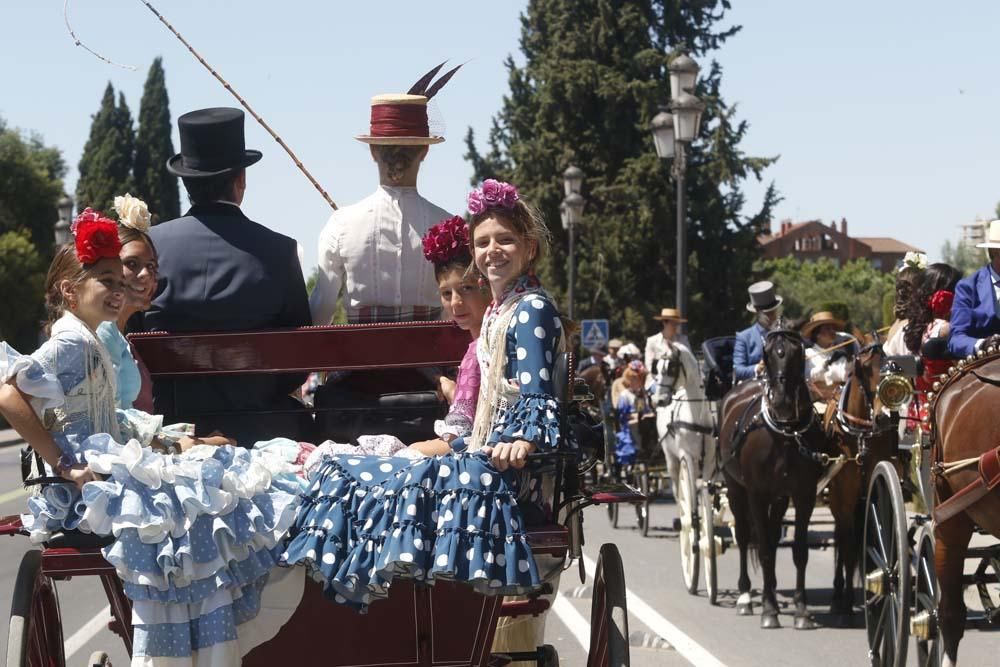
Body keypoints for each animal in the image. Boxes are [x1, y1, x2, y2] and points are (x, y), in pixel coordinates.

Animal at [720, 328, 836, 632]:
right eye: (768, 353)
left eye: (798, 352)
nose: (782, 402)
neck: (784, 434)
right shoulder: (756, 494)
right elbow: (762, 550)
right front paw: (769, 610)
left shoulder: (803, 494)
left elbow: (798, 551)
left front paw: (801, 611)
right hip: (735, 488)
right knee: (745, 535)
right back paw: (746, 597)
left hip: (780, 497)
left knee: (771, 538)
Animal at [820, 342, 900, 624]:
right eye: (864, 369)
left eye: (891, 365)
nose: (885, 416)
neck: (861, 435)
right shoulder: (844, 497)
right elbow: (848, 545)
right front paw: (844, 604)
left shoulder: (875, 490)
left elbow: (874, 537)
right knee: (843, 539)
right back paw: (837, 595)